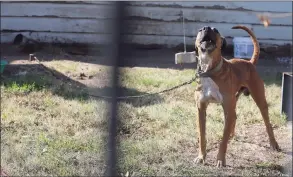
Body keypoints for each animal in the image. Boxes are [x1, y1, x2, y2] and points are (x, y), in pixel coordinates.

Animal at [193, 25, 280, 167]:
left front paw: (220, 160)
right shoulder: (201, 110)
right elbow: (202, 137)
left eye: (216, 30)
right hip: (234, 102)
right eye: (200, 30)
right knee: (235, 117)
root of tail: (249, 63)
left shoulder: (227, 110)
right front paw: (201, 157)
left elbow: (223, 141)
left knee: (267, 124)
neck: (209, 70)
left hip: (260, 101)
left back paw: (273, 143)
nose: (206, 28)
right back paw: (231, 135)